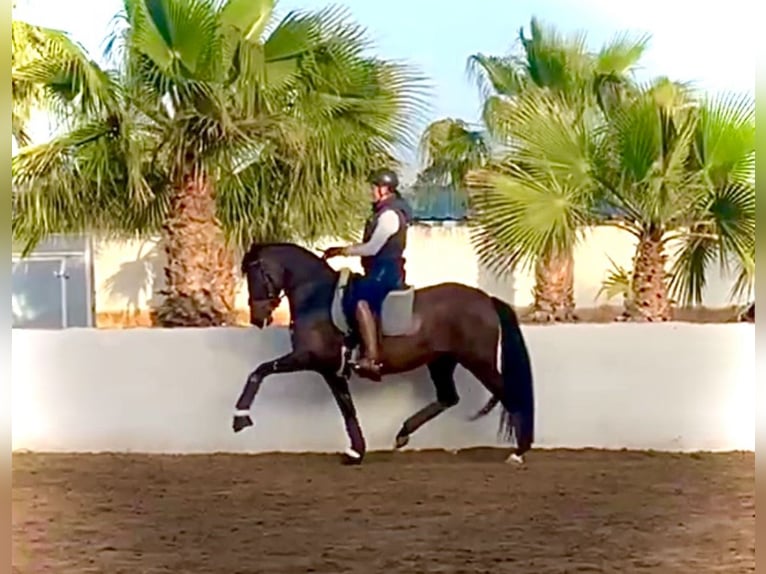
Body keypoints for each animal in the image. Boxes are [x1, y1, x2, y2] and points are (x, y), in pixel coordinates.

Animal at [231, 243, 536, 468]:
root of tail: (487, 299)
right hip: (441, 361)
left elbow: (259, 371)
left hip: (478, 360)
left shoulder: (307, 357)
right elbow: (347, 409)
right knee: (448, 397)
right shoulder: (330, 369)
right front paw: (356, 452)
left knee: (508, 393)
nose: (257, 318)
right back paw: (402, 434)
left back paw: (519, 451)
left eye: (255, 274)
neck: (316, 297)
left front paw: (240, 418)